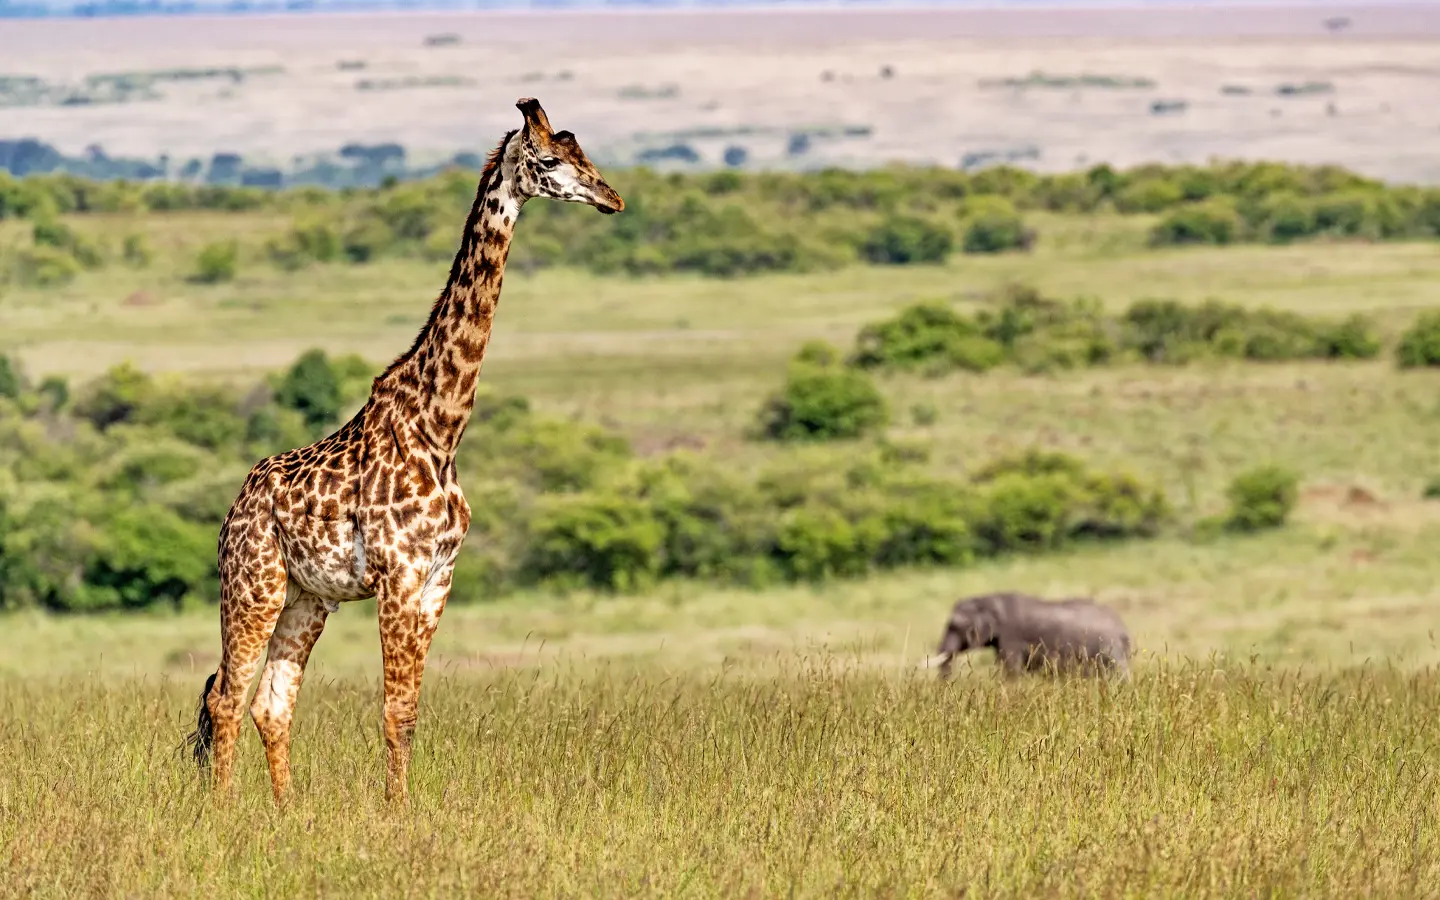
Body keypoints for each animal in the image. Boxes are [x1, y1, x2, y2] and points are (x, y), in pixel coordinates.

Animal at [185, 98, 624, 804]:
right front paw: (395, 812)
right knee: (226, 696)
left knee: (272, 703)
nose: (612, 199)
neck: (440, 428)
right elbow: (392, 711)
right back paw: (225, 809)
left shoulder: (439, 577)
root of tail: (232, 511)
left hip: (308, 597)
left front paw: (400, 806)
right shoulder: (398, 575)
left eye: (584, 152)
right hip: (253, 584)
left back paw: (285, 811)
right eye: (551, 159)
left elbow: (410, 711)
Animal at [931, 592, 1131, 679]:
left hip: (1109, 649)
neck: (987, 599)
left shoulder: (1011, 636)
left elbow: (1011, 668)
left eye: (954, 626)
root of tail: (1124, 629)